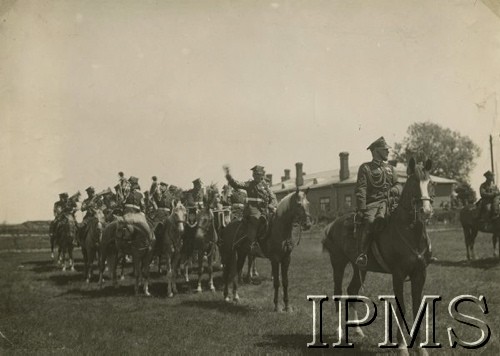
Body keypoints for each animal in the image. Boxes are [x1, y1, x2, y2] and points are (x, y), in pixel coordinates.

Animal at [324, 159, 434, 356]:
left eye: (430, 183)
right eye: (413, 184)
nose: (426, 211)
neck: (411, 233)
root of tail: (332, 224)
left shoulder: (420, 274)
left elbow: (417, 307)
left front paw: (420, 348)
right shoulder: (398, 275)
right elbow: (401, 306)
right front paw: (402, 346)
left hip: (360, 268)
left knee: (352, 290)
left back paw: (357, 330)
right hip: (338, 263)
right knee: (338, 292)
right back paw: (339, 331)